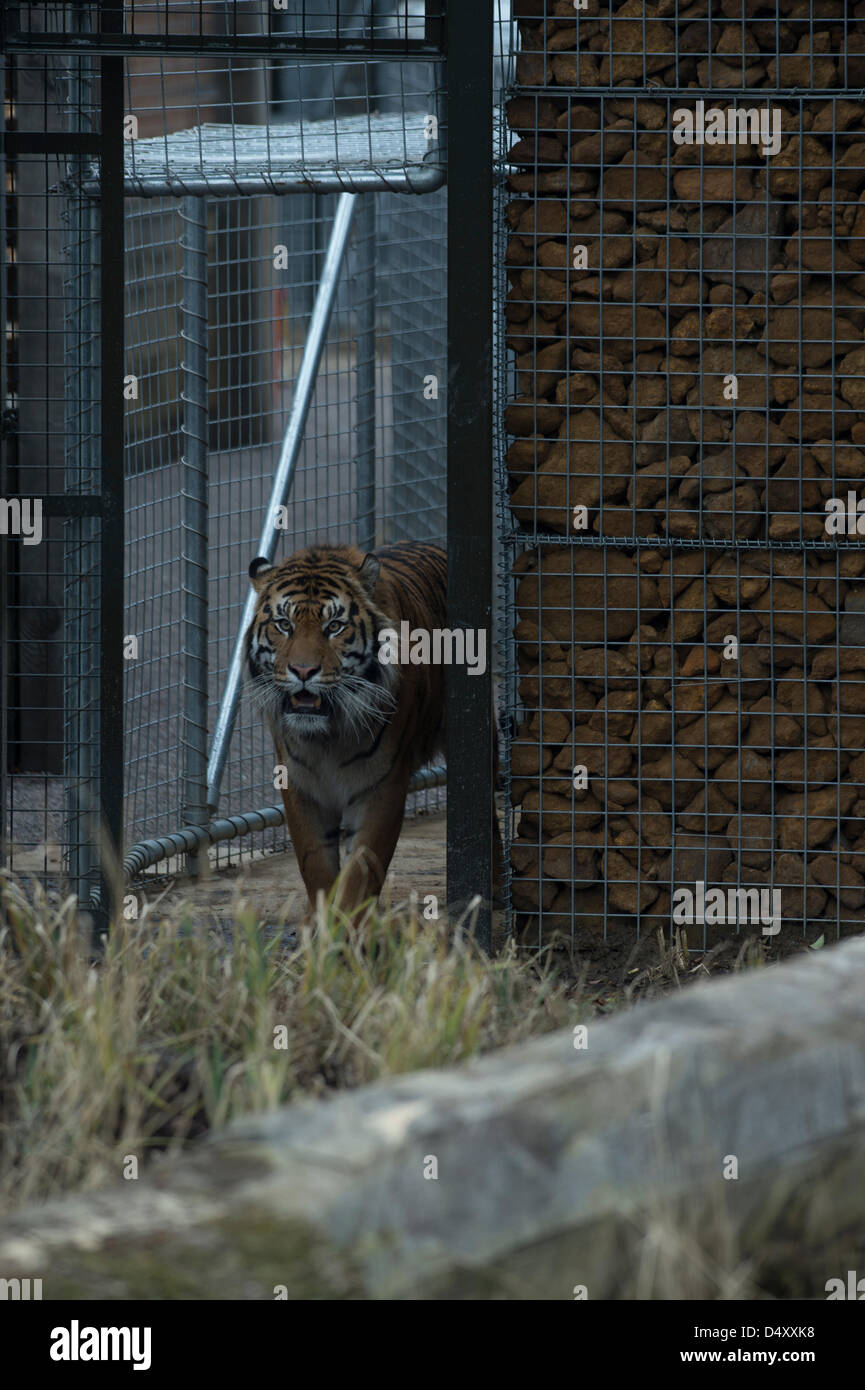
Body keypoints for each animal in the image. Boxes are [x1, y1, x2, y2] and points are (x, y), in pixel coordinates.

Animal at [246, 539, 500, 922]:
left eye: (334, 626)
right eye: (284, 624)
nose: (303, 671)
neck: (326, 737)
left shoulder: (381, 785)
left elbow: (361, 867)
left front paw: (347, 927)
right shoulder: (299, 785)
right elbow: (315, 864)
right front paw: (320, 924)